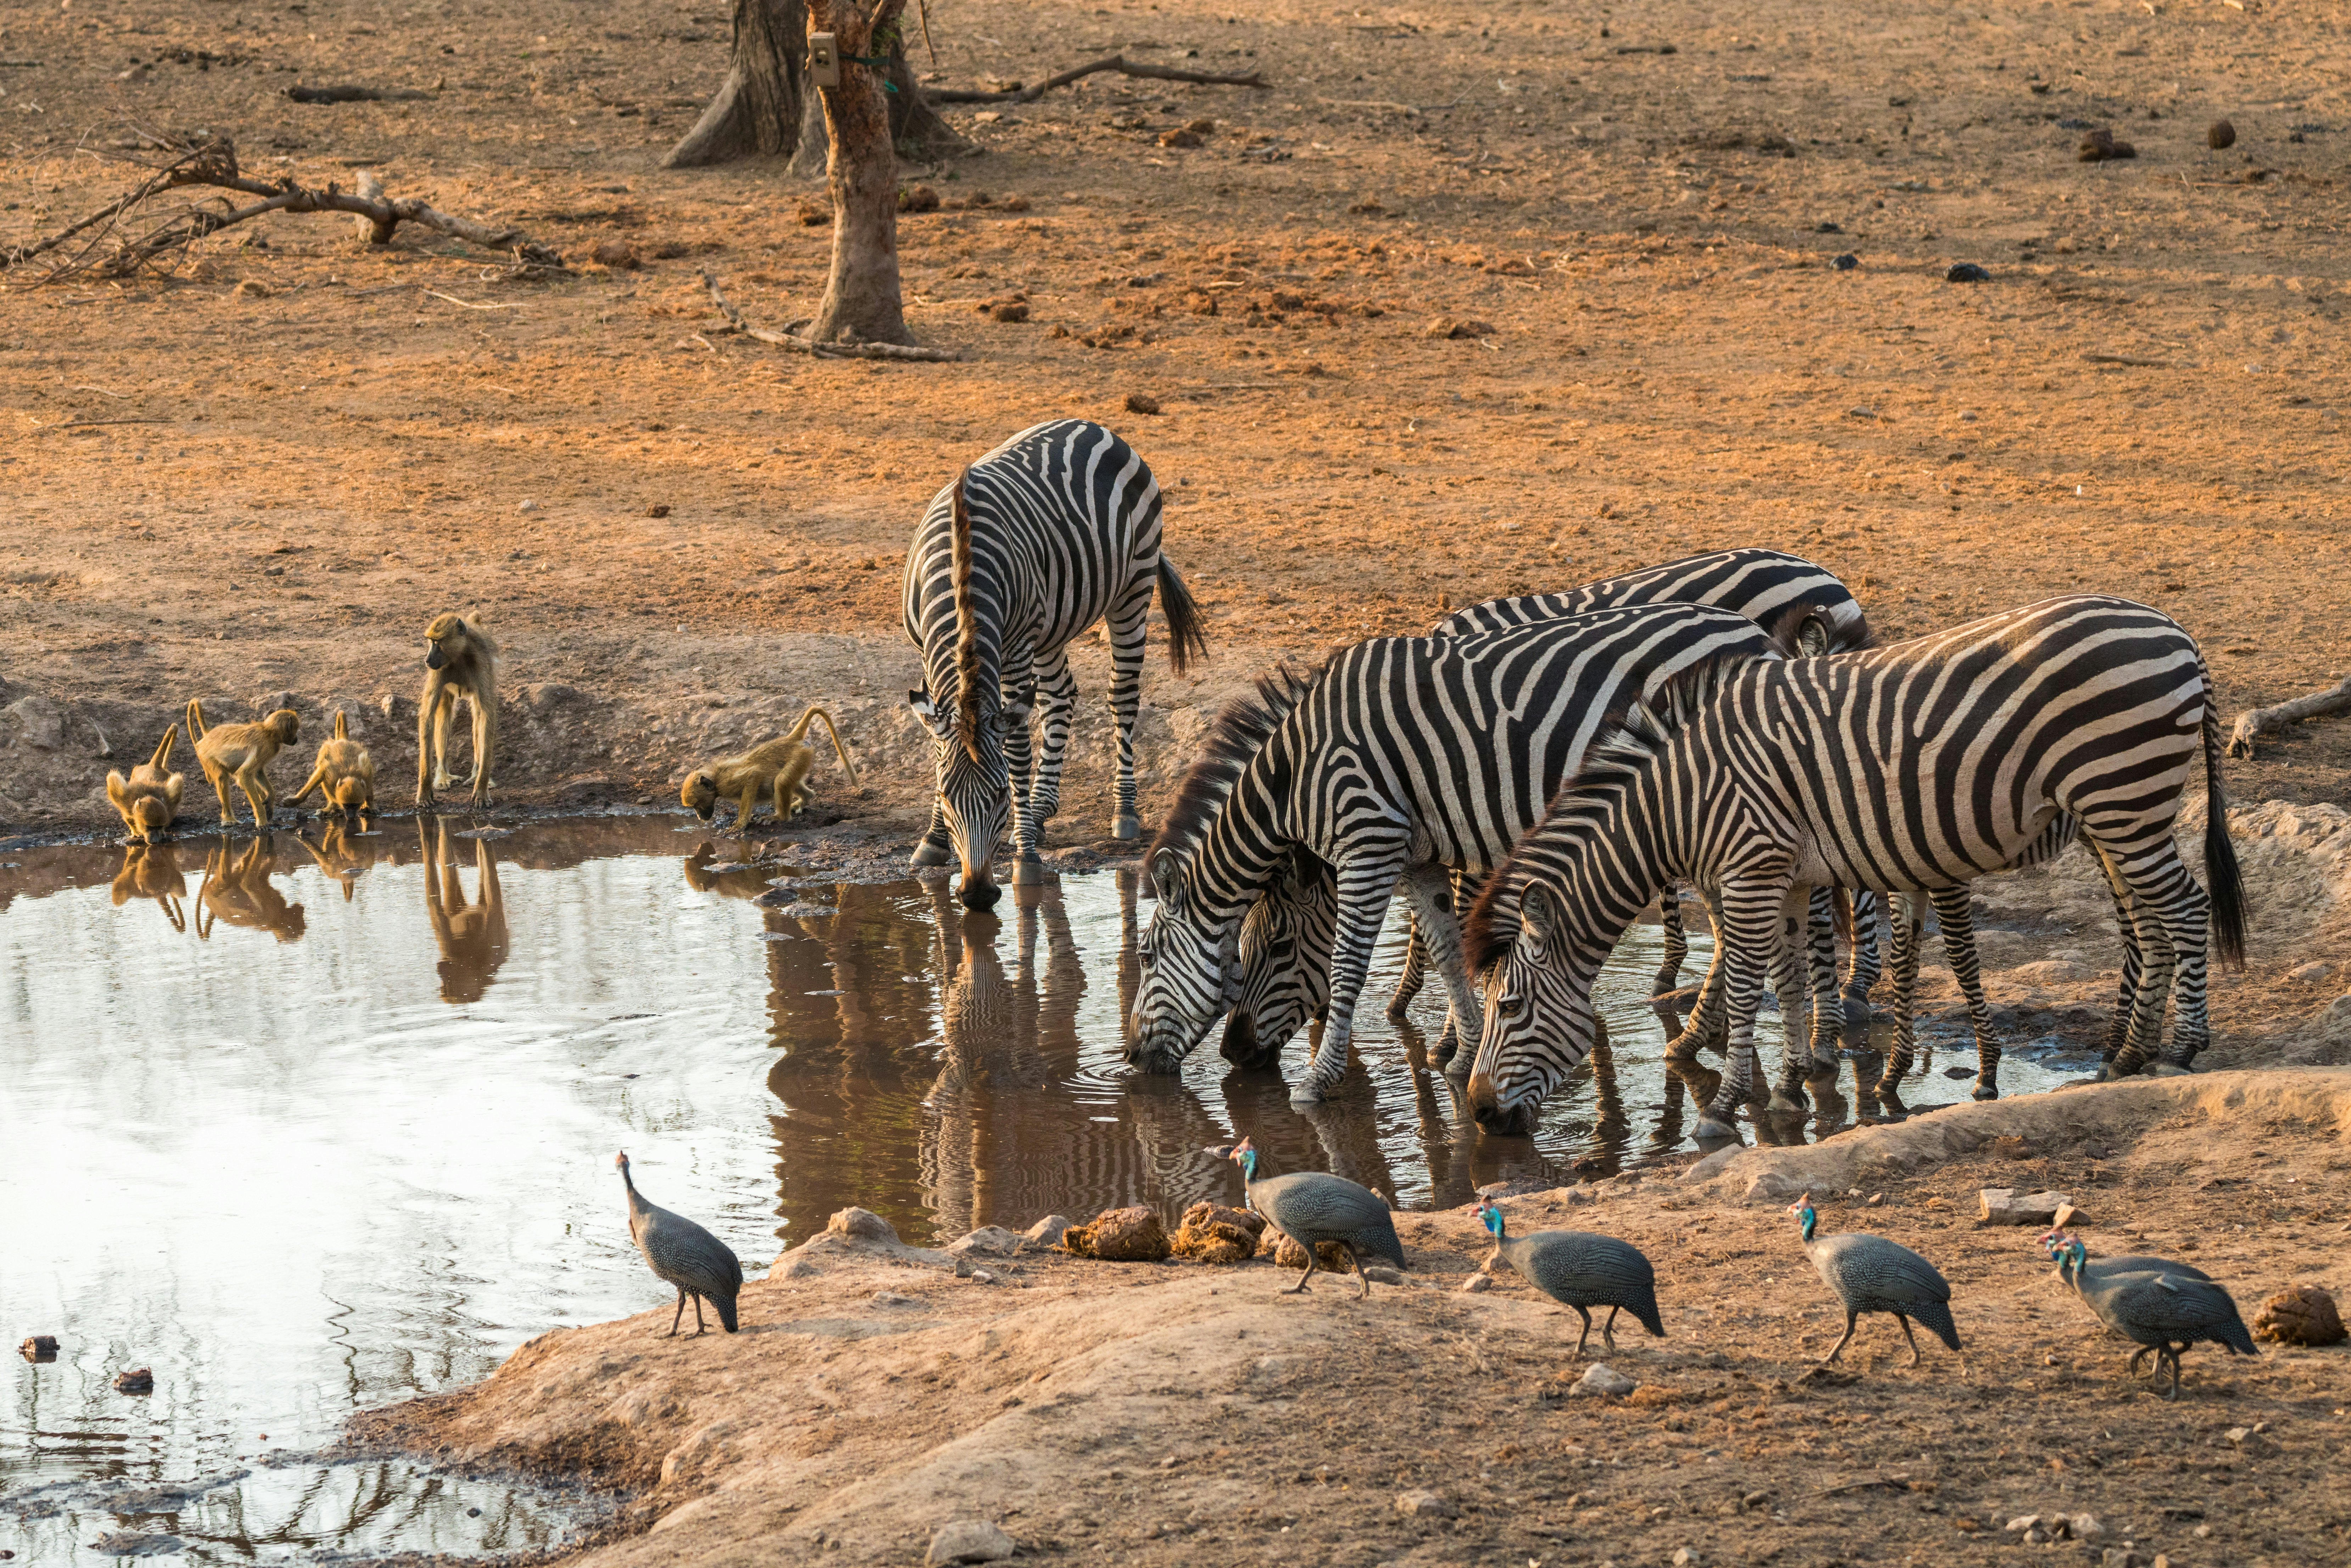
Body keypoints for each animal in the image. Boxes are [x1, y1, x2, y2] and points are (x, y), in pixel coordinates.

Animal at [893, 421, 1204, 907]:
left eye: (1000, 795)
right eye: (946, 795)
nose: (977, 896)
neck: (961, 568)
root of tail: (1096, 427)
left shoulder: (1017, 645)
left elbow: (1019, 749)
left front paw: (1026, 857)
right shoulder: (925, 648)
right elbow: (939, 746)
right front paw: (934, 838)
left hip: (1133, 588)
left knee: (1122, 696)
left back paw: (1123, 810)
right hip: (1053, 624)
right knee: (1060, 697)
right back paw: (1041, 809)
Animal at [1128, 601, 1806, 1105]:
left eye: (1276, 947)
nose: (1132, 1056)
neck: (1293, 774)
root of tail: (1757, 636)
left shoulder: (1368, 838)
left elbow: (1349, 966)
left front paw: (1318, 1081)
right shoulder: (1415, 856)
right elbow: (1447, 947)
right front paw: (1462, 1056)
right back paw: (1696, 1038)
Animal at [1457, 595, 2248, 1133]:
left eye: (1509, 1007)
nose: (1478, 1111)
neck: (1681, 797)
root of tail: (2176, 631)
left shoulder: (1750, 869)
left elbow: (1745, 986)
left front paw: (1724, 1104)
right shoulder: (1783, 875)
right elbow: (1787, 978)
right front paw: (1788, 1084)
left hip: (2122, 796)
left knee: (2184, 909)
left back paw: (2181, 1046)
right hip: (2116, 811)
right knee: (2148, 923)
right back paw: (2125, 1055)